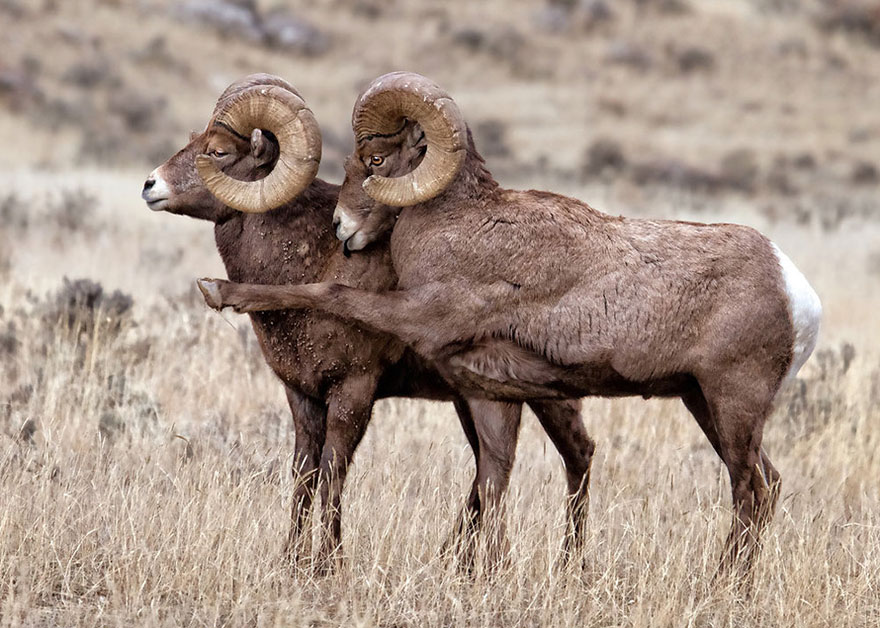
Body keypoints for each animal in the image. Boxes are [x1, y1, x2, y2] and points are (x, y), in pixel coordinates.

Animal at [144, 73, 596, 568]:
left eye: (220, 151)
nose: (150, 185)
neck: (312, 258)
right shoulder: (302, 396)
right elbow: (303, 476)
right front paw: (291, 561)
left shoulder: (353, 391)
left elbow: (333, 474)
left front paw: (328, 563)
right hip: (473, 398)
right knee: (488, 469)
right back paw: (453, 562)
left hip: (547, 395)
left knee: (576, 455)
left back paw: (569, 565)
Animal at [199, 71, 824, 568]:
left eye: (375, 161)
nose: (342, 229)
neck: (461, 226)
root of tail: (797, 292)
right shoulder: (491, 393)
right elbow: (493, 480)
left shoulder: (417, 313)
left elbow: (330, 290)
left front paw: (218, 291)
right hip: (704, 403)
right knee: (767, 484)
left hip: (733, 404)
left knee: (749, 491)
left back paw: (724, 585)